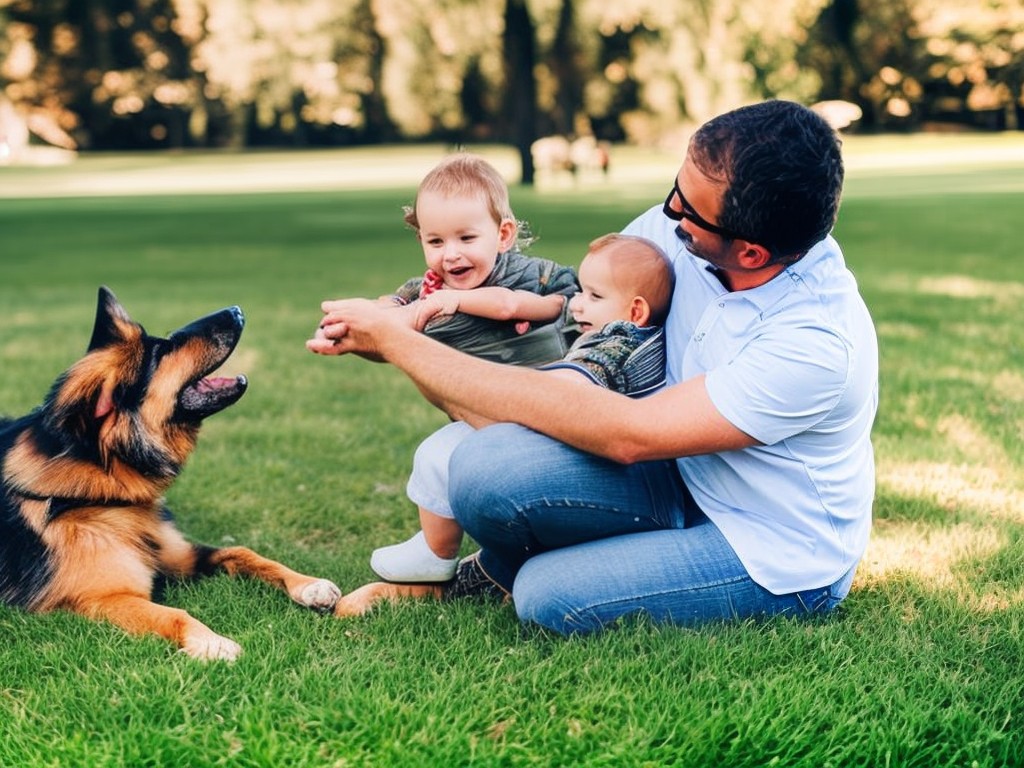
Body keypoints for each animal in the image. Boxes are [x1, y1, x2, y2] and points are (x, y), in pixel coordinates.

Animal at [0, 288, 344, 663]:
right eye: (162, 352)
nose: (236, 310)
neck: (105, 487)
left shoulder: (180, 556)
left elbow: (243, 552)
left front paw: (309, 585)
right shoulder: (103, 598)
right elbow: (173, 614)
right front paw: (211, 641)